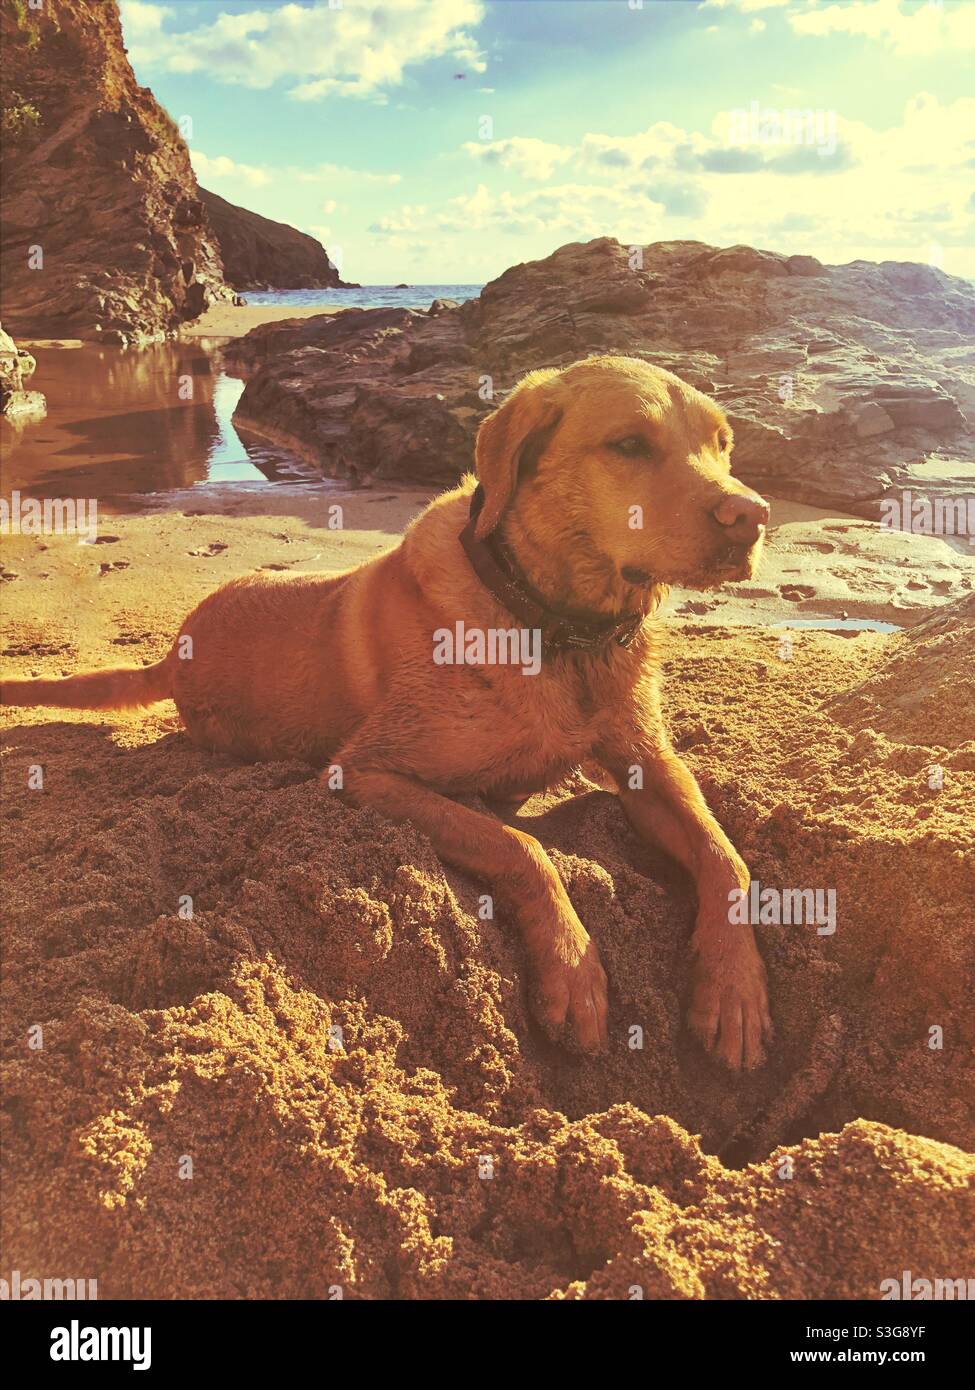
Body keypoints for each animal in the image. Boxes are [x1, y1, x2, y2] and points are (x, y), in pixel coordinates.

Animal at [3, 353, 773, 1067]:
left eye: (723, 442)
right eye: (629, 443)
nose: (752, 518)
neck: (553, 628)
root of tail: (173, 653)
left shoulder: (650, 759)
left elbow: (725, 857)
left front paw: (734, 990)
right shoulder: (367, 772)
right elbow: (520, 847)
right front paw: (572, 967)